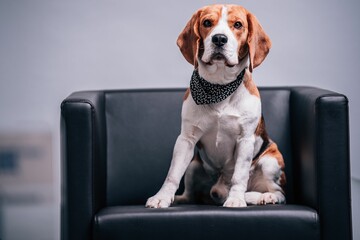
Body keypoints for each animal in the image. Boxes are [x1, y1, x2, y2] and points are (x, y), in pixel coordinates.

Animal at [145, 3, 286, 208]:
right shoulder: (186, 139)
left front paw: (236, 199)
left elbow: (239, 176)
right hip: (194, 165)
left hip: (270, 161)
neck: (219, 86)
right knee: (191, 194)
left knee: (280, 194)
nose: (219, 38)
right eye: (207, 23)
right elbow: (172, 174)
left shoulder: (245, 140)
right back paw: (180, 199)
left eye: (238, 24)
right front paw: (162, 197)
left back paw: (262, 197)